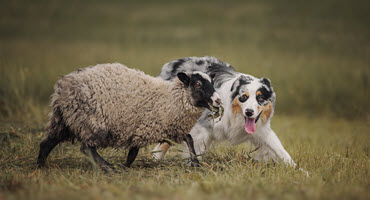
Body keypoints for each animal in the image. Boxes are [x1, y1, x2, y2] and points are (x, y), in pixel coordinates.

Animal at [36, 62, 223, 170]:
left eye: (212, 83)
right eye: (197, 84)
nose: (218, 101)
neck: (170, 99)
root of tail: (63, 86)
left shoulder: (168, 128)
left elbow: (189, 139)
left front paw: (196, 163)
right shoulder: (150, 128)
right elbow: (134, 152)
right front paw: (125, 166)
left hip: (64, 121)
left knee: (46, 143)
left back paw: (40, 167)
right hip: (91, 122)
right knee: (87, 148)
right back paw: (108, 167)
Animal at [153, 56, 300, 169]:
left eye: (261, 98)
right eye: (244, 97)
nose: (249, 112)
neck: (235, 115)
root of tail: (170, 64)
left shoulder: (261, 131)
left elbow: (280, 150)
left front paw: (299, 171)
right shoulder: (201, 130)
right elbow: (196, 150)